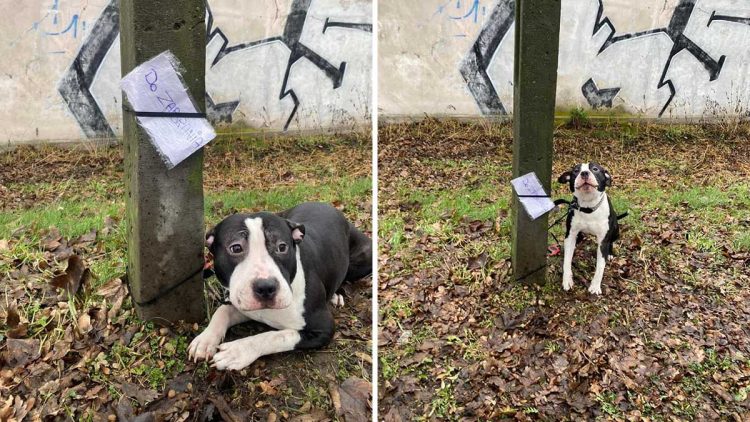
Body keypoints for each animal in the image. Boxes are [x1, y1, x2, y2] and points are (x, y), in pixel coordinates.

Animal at [188, 201, 374, 370]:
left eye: (282, 247)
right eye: (236, 248)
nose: (266, 287)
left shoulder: (323, 328)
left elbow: (277, 336)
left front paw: (238, 351)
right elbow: (222, 311)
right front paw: (205, 340)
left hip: (363, 259)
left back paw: (336, 295)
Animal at [560, 163, 624, 296]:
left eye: (595, 169)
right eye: (576, 171)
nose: (584, 173)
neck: (588, 207)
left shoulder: (603, 242)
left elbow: (600, 266)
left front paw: (595, 286)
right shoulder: (570, 235)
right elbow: (567, 260)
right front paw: (567, 280)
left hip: (616, 230)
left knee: (612, 241)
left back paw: (610, 254)